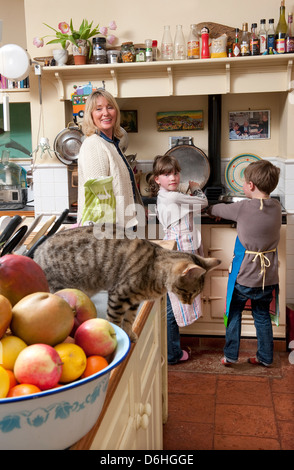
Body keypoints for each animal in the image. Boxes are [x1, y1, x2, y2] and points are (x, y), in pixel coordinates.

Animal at [34, 226, 220, 340]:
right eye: (190, 293)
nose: (188, 303)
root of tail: (38, 251)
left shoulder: (133, 302)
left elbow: (129, 320)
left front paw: (130, 334)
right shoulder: (119, 296)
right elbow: (115, 320)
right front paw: (119, 337)